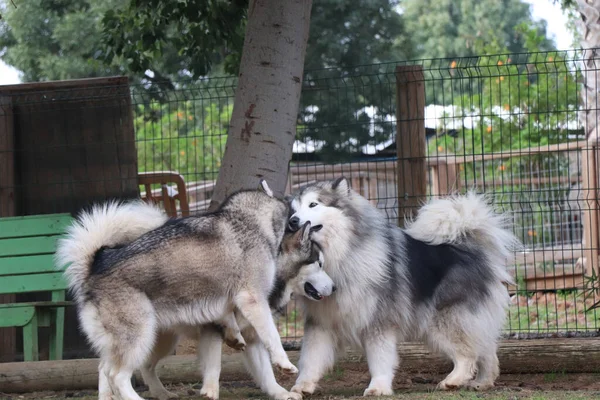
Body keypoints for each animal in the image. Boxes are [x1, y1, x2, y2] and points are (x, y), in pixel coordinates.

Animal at [56, 183, 332, 400]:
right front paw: (284, 364)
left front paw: (281, 393)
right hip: (139, 338)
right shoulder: (251, 301)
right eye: (319, 263)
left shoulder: (248, 329)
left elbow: (263, 372)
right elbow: (269, 341)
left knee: (108, 369)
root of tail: (95, 266)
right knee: (117, 375)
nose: (333, 287)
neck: (254, 223)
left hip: (151, 341)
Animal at [288, 179, 516, 396]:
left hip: (443, 322)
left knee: (467, 355)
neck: (341, 254)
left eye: (313, 204)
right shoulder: (321, 323)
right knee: (486, 351)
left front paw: (378, 387)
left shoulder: (379, 322)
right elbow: (311, 357)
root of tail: (470, 251)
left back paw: (453, 380)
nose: (292, 221)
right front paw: (302, 386)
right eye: (293, 210)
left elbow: (379, 359)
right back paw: (482, 382)